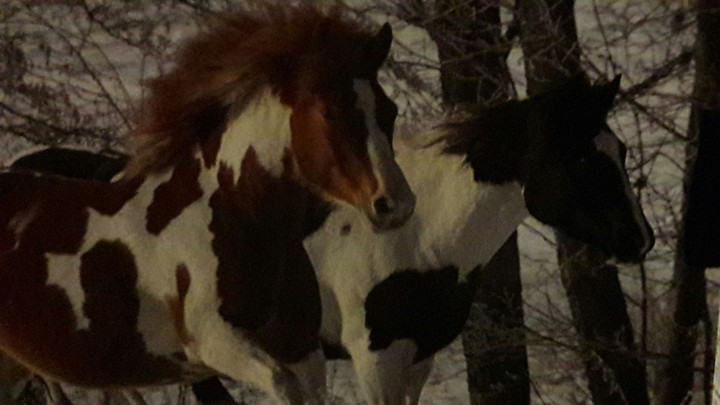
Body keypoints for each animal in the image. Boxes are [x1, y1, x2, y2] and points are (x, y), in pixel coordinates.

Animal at [0, 4, 415, 404]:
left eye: (389, 110)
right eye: (328, 113)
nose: (396, 204)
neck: (233, 215)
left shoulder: (302, 349)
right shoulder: (216, 344)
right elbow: (281, 384)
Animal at [303, 75, 655, 404]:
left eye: (621, 150)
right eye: (581, 159)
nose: (641, 238)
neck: (415, 235)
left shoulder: (420, 355)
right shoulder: (375, 360)